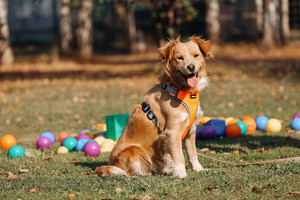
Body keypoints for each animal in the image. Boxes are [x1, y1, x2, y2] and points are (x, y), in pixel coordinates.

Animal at [95, 36, 212, 179]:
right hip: (135, 150)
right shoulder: (172, 132)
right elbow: (179, 156)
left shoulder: (190, 130)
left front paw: (198, 169)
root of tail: (111, 164)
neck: (184, 90)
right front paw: (182, 175)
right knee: (130, 172)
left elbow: (192, 153)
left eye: (196, 55)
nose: (191, 67)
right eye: (180, 58)